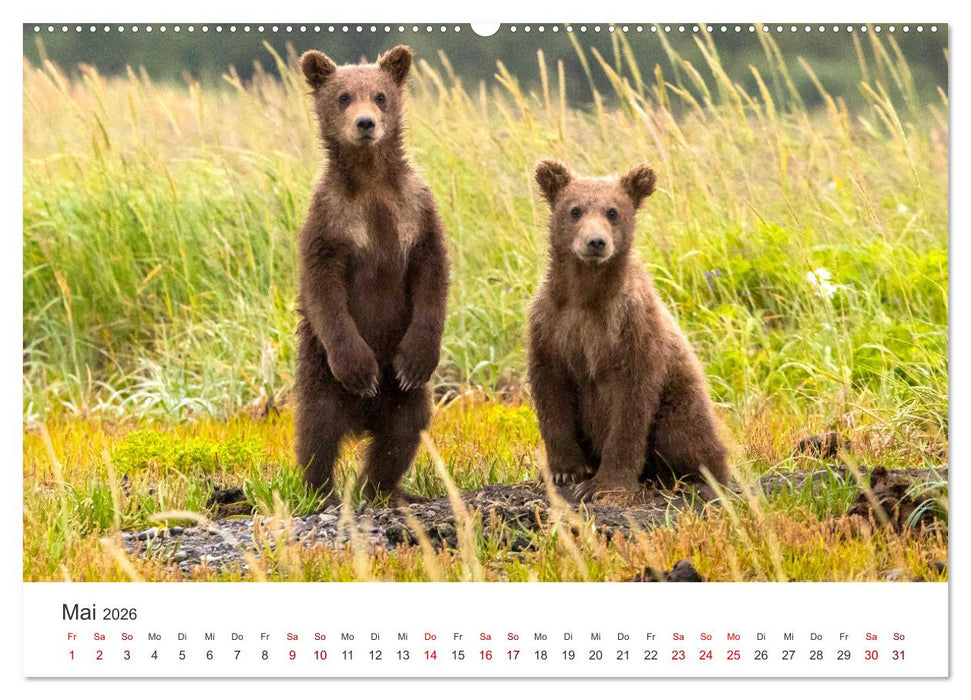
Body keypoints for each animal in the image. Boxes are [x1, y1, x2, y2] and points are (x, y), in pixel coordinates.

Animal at [294, 45, 449, 505]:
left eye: (380, 96)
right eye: (343, 96)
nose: (366, 123)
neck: (370, 179)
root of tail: (362, 419)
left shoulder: (415, 210)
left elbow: (432, 274)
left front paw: (416, 359)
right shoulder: (329, 219)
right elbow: (324, 289)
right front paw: (361, 369)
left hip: (403, 398)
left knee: (402, 431)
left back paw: (383, 490)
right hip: (320, 372)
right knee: (317, 430)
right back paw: (320, 492)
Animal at [527, 160, 729, 501]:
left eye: (613, 212)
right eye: (575, 209)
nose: (596, 242)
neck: (587, 295)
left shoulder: (631, 329)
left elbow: (630, 409)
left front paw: (604, 484)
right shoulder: (551, 326)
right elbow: (552, 394)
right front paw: (565, 471)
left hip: (680, 398)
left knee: (687, 434)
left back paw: (700, 480)